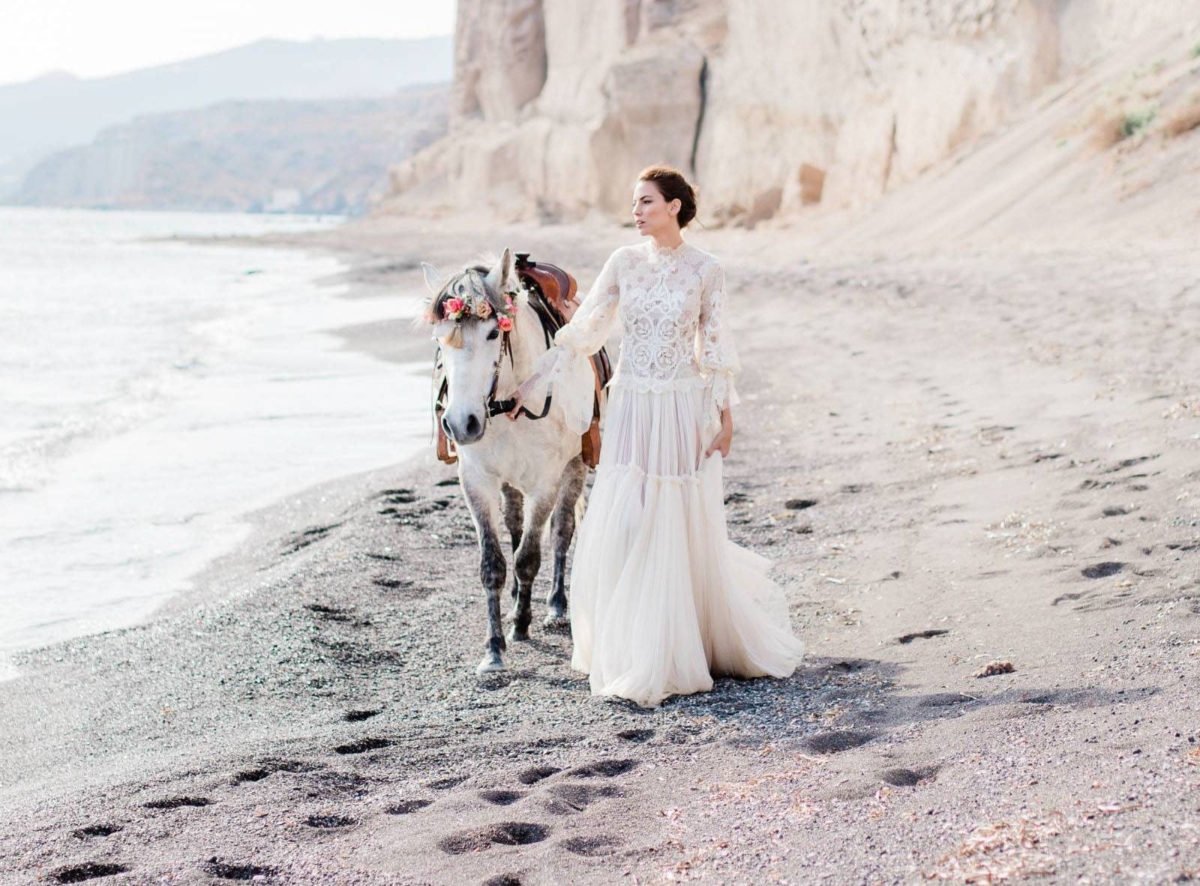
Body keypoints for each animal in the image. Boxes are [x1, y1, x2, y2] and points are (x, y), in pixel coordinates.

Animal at [422, 244, 590, 672]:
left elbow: (530, 555)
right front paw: (494, 647)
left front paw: (521, 624)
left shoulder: (545, 482)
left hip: (575, 467)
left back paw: (555, 604)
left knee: (561, 531)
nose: (460, 423)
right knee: (515, 527)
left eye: (494, 332)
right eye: (439, 340)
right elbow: (494, 564)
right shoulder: (476, 481)